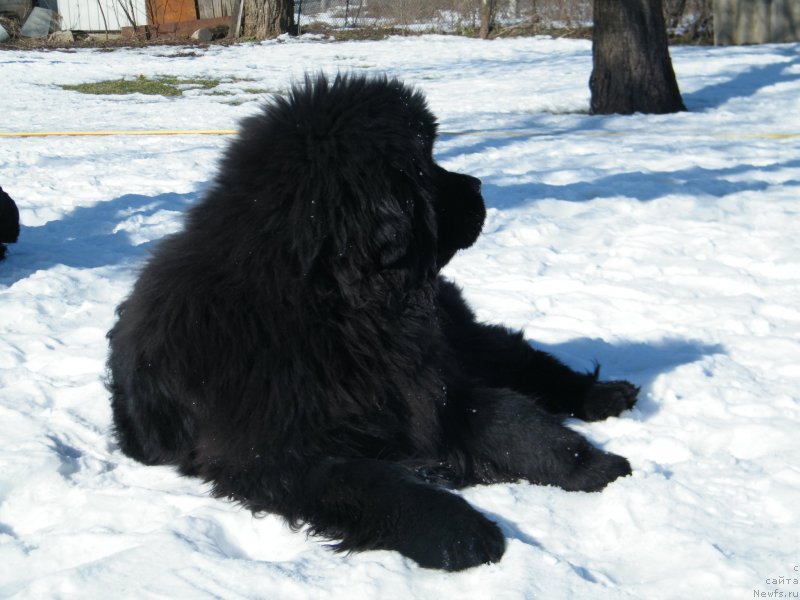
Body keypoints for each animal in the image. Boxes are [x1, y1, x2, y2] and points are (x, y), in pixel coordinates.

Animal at [109, 75, 640, 572]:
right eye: (425, 164)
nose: (479, 186)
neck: (339, 305)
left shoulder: (433, 389)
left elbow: (518, 422)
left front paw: (596, 466)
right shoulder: (280, 454)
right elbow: (377, 482)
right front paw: (464, 534)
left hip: (461, 334)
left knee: (525, 363)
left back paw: (605, 394)